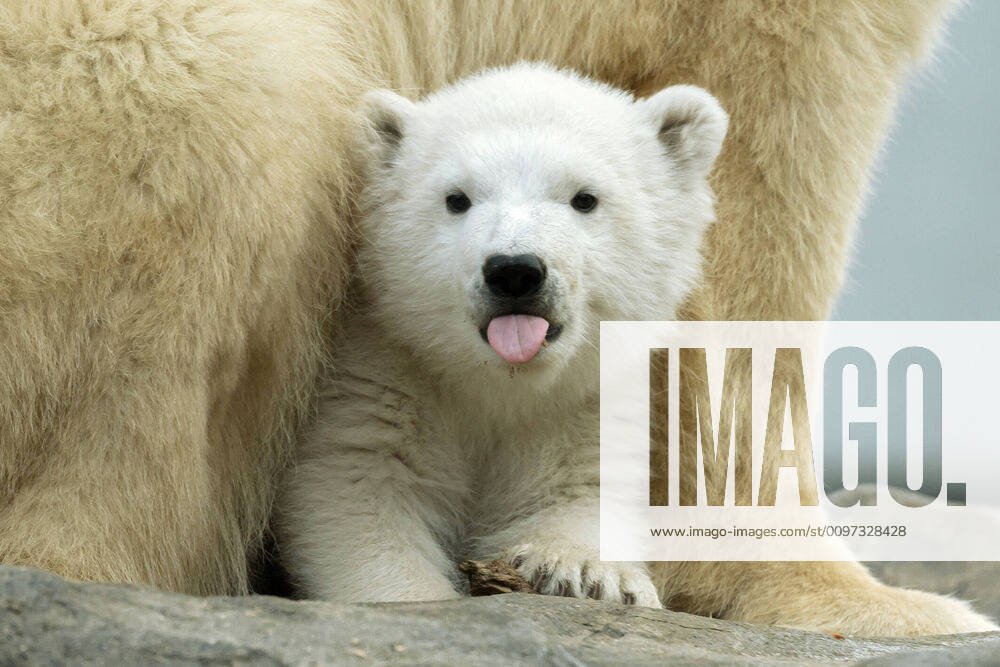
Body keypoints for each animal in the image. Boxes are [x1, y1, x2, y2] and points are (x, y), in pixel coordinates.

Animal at [274, 63, 996, 636]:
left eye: (585, 198)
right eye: (456, 198)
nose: (515, 270)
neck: (497, 381)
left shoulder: (591, 399)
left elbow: (584, 488)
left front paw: (585, 573)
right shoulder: (380, 375)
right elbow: (360, 494)